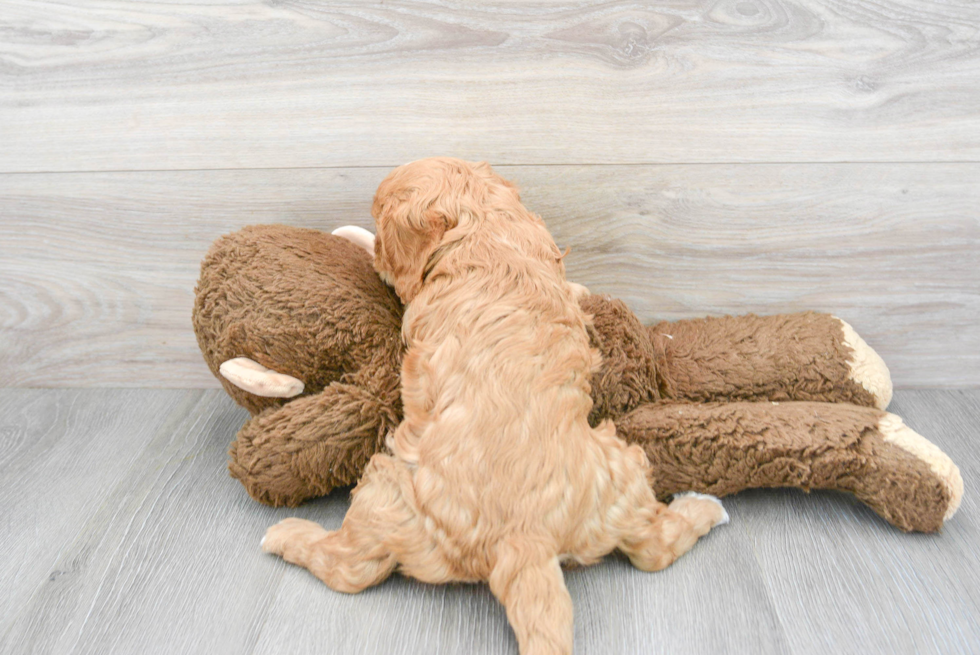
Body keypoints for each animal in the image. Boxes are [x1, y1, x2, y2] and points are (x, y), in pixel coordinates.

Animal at [264, 159, 732, 655]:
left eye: (381, 217)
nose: (373, 245)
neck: (484, 228)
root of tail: (524, 536)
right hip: (621, 475)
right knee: (652, 548)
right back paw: (706, 508)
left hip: (387, 494)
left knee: (351, 567)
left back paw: (285, 535)